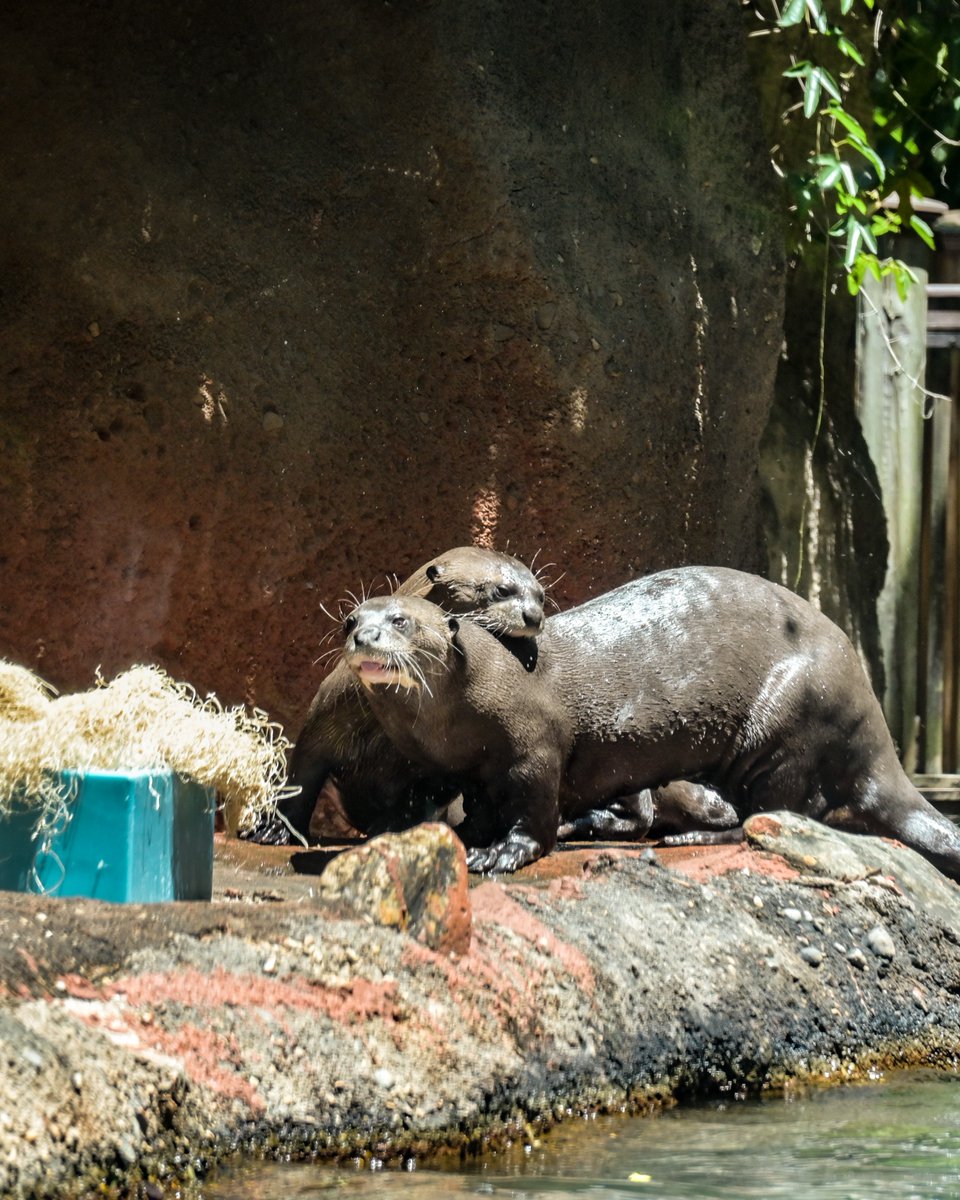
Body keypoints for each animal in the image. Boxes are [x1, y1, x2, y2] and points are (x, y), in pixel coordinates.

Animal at [254, 547, 545, 845]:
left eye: (541, 596)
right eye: (502, 590)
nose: (535, 617)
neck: (380, 729)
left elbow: (420, 797)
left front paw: (391, 826)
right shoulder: (321, 722)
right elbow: (300, 781)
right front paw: (277, 830)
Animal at [341, 569, 960, 881]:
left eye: (401, 620)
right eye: (351, 618)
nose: (364, 636)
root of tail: (874, 725)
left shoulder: (535, 750)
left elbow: (533, 815)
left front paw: (500, 854)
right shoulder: (467, 772)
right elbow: (476, 806)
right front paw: (461, 833)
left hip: (791, 722)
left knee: (773, 816)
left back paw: (688, 836)